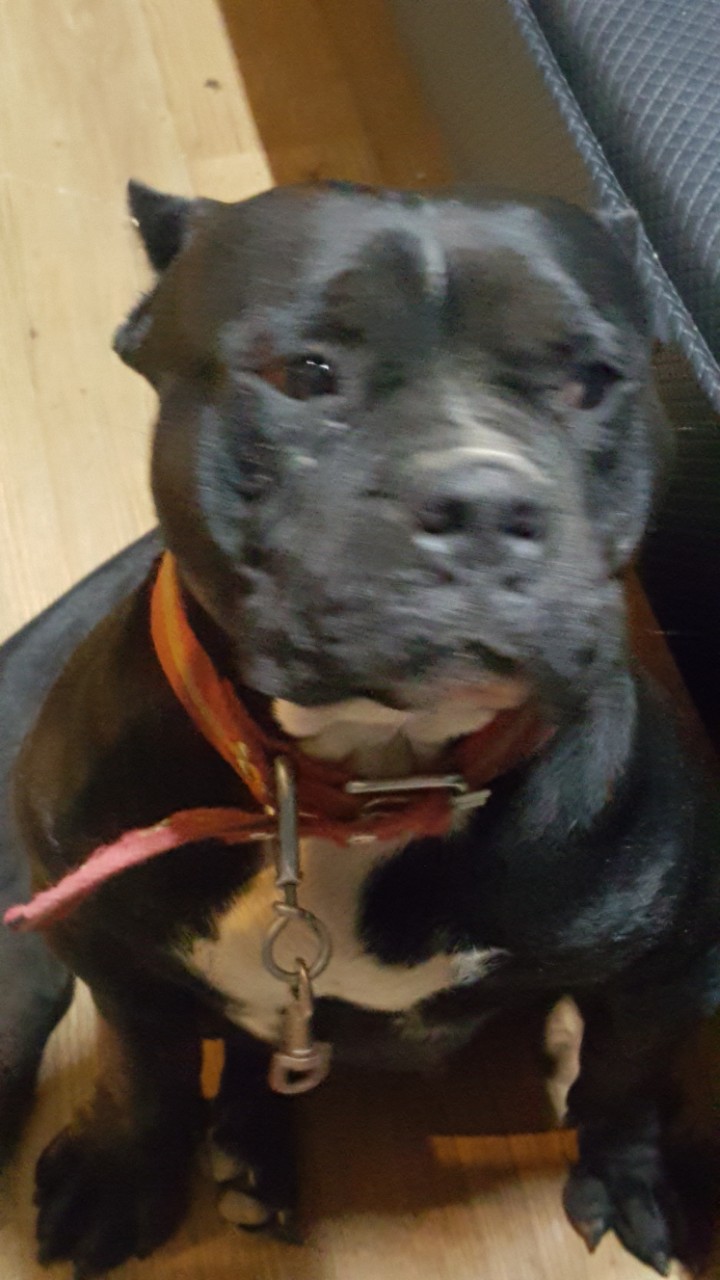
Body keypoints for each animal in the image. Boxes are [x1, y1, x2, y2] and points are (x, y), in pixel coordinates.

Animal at [2, 180, 719, 1278]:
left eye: (592, 382)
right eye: (306, 374)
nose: (484, 500)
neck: (363, 782)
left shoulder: (670, 962)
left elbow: (626, 1073)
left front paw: (627, 1170)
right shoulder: (104, 941)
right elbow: (144, 1067)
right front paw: (123, 1171)